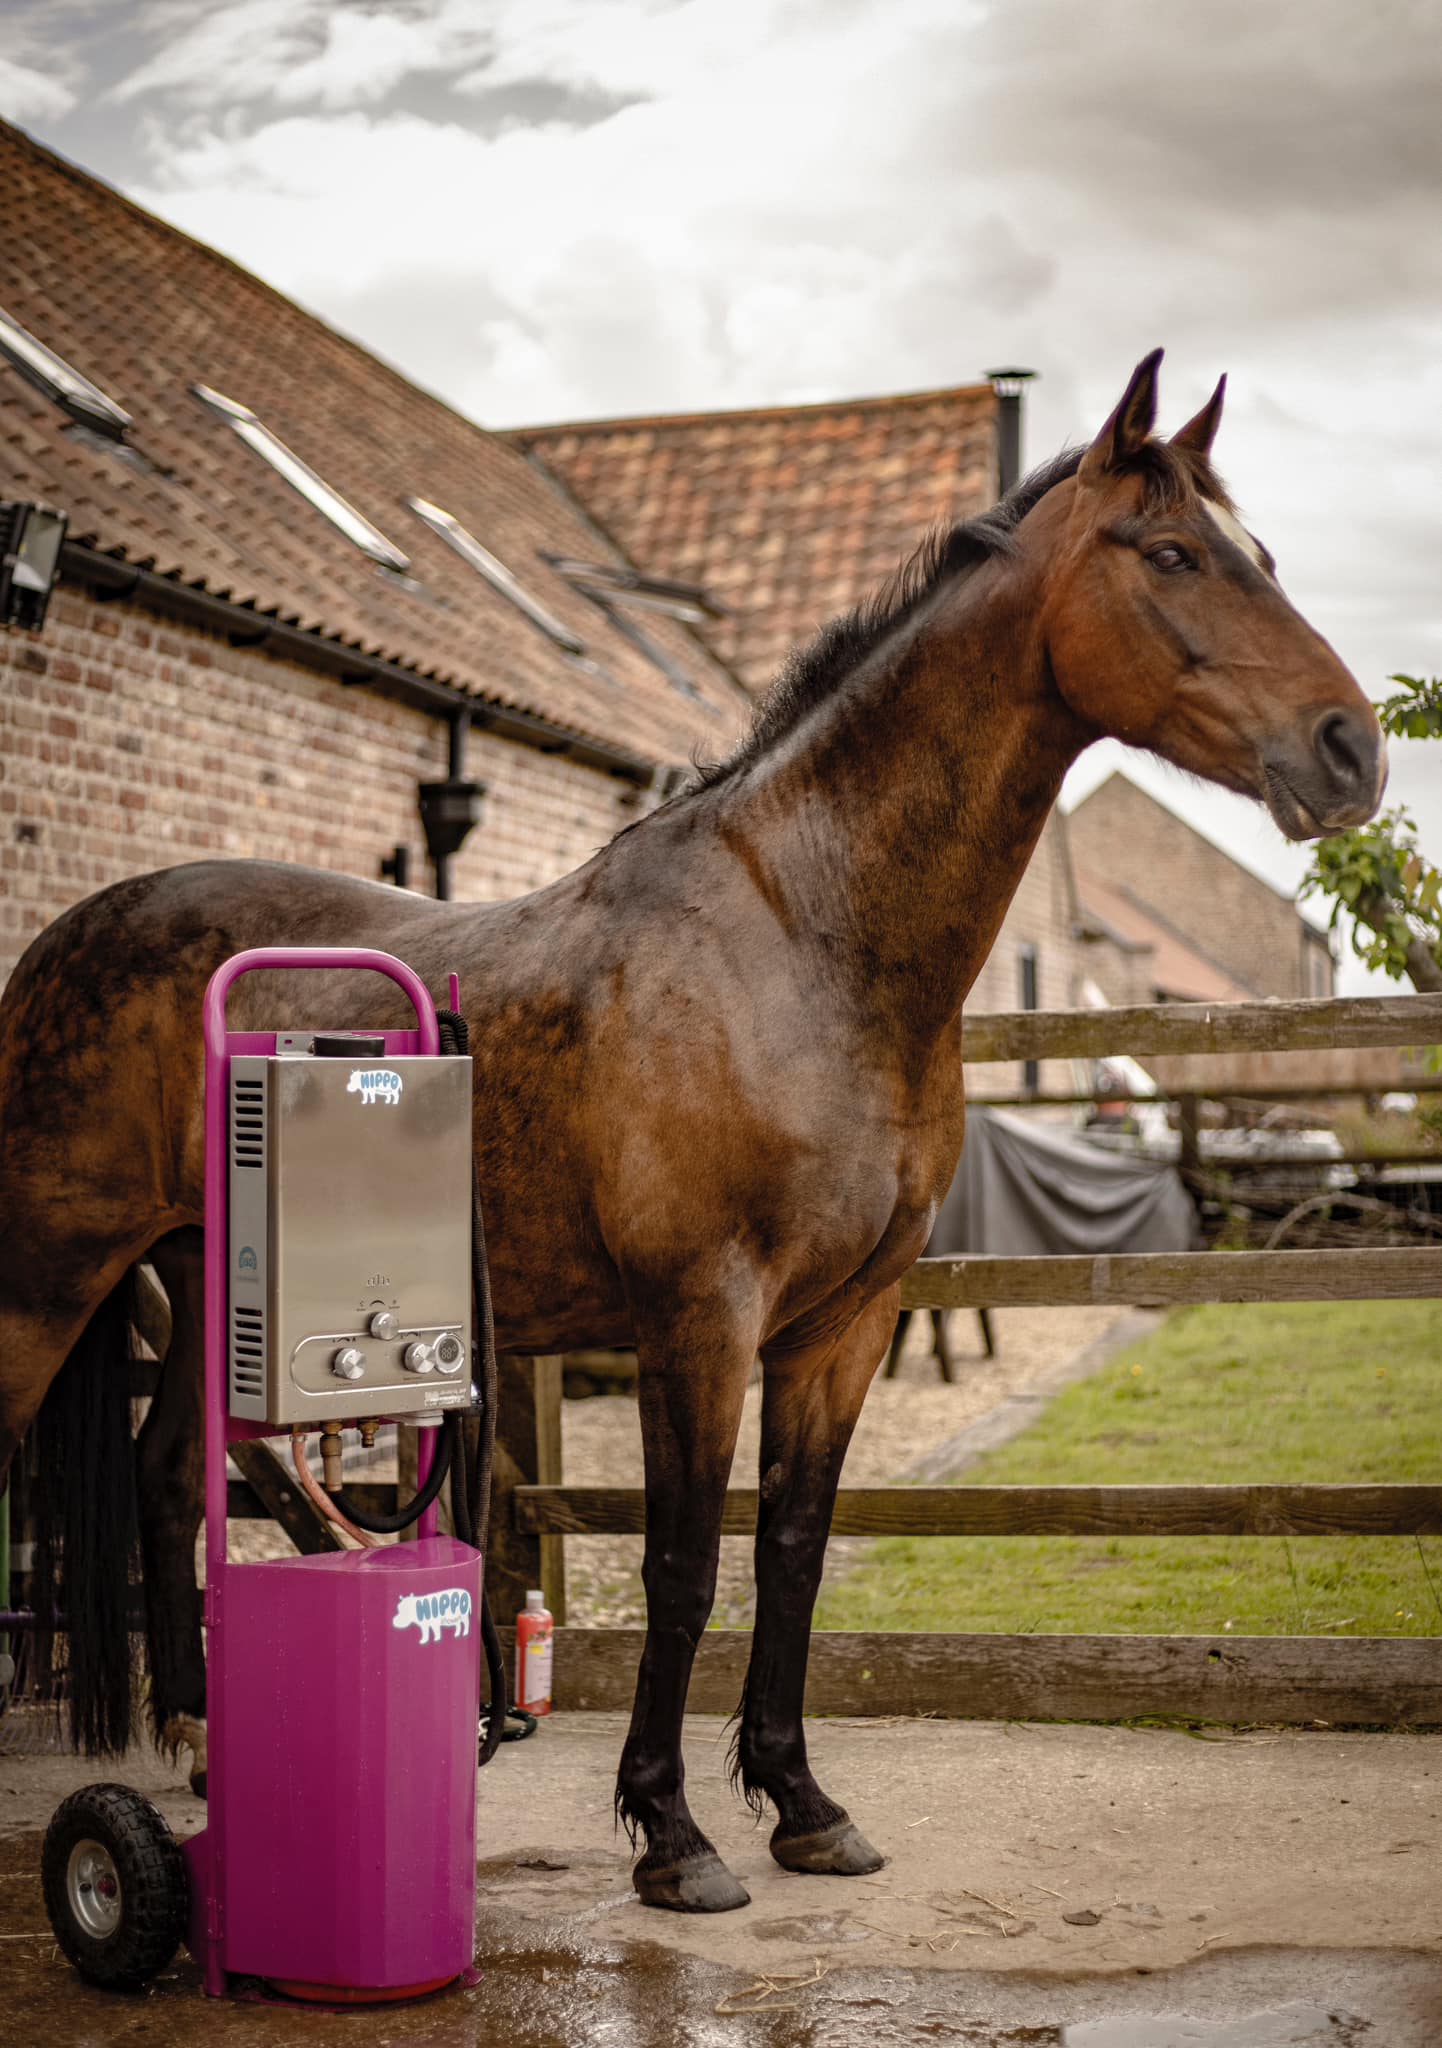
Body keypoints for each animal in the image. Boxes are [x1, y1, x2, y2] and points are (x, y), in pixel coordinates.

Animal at [0, 352, 1385, 1913]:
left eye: (1257, 554)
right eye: (1168, 554)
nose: (1349, 749)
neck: (801, 941)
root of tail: (65, 940)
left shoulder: (844, 1324)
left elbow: (789, 1551)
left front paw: (800, 1802)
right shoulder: (698, 1318)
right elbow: (680, 1566)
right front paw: (670, 1831)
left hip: (196, 1275)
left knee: (169, 1474)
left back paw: (196, 1736)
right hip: (43, 1279)